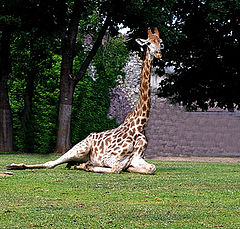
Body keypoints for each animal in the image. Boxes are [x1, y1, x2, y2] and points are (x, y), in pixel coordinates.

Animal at [6, 27, 163, 174]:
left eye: (160, 42)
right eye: (148, 43)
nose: (158, 54)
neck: (138, 125)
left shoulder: (137, 158)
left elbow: (151, 167)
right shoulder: (107, 157)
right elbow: (117, 167)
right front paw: (89, 166)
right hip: (81, 147)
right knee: (50, 163)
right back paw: (12, 165)